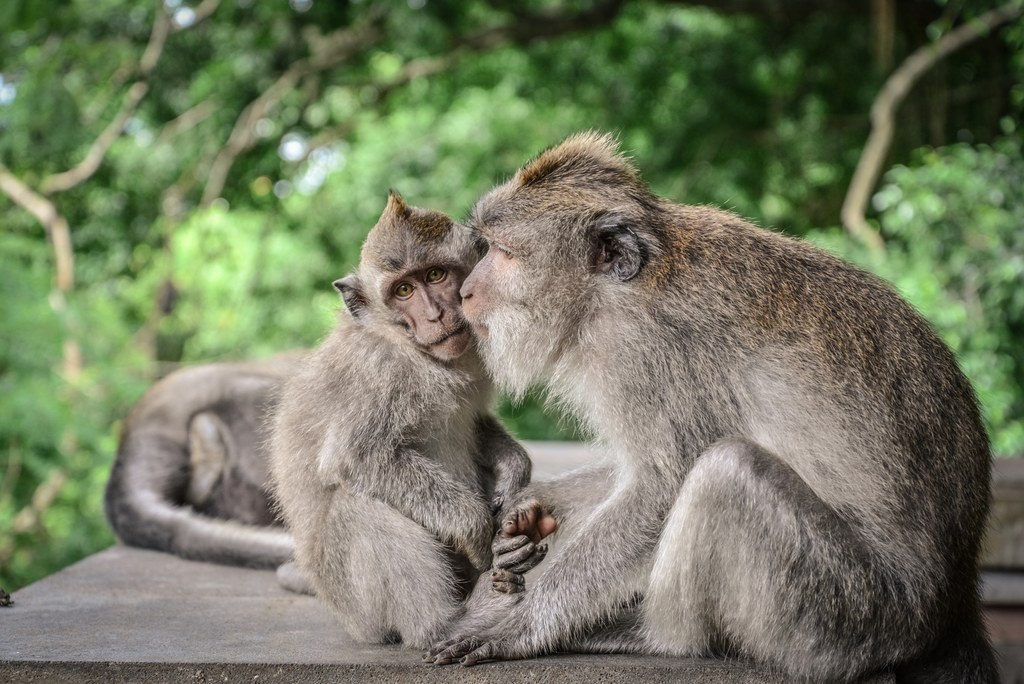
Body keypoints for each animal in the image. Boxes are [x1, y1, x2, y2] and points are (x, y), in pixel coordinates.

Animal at [268, 193, 532, 651]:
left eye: (436, 274)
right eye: (404, 290)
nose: (435, 314)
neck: (413, 351)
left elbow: (475, 421)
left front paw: (514, 469)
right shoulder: (379, 373)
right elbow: (357, 457)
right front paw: (476, 526)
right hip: (355, 606)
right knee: (358, 506)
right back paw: (447, 624)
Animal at [428, 131, 995, 679]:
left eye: (503, 253)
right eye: (486, 248)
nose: (467, 292)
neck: (611, 293)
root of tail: (952, 602)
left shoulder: (645, 355)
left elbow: (660, 487)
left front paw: (519, 628)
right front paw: (531, 510)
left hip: (853, 613)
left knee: (727, 469)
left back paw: (655, 638)